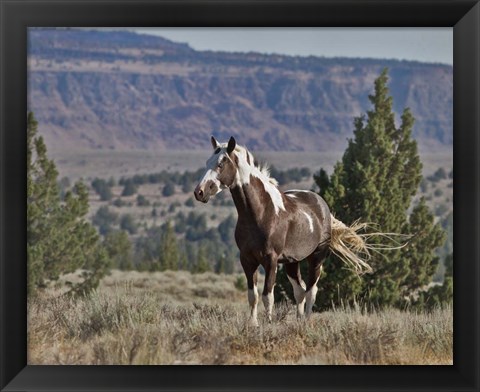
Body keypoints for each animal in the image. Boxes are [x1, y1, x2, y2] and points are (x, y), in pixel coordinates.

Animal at [193, 136, 374, 326]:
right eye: (208, 162)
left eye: (221, 163)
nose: (200, 192)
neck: (261, 213)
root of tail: (322, 205)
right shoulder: (247, 260)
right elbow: (253, 296)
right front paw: (253, 324)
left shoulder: (271, 260)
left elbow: (268, 296)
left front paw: (269, 323)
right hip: (292, 262)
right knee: (300, 291)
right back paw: (299, 320)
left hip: (316, 258)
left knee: (311, 291)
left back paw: (306, 321)